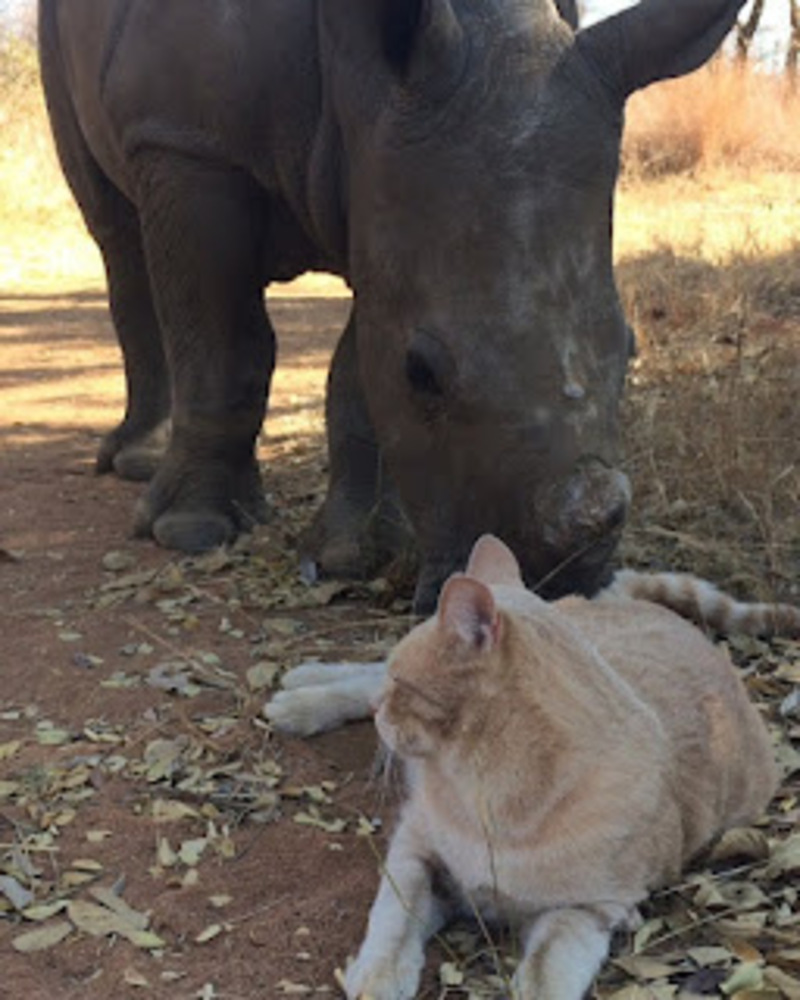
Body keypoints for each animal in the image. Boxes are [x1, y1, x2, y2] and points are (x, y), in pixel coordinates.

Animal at [266, 540, 780, 1000]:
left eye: (402, 684)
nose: (379, 708)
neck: (490, 796)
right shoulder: (414, 849)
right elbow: (395, 916)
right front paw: (379, 976)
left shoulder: (586, 911)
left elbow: (546, 974)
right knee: (359, 673)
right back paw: (300, 693)